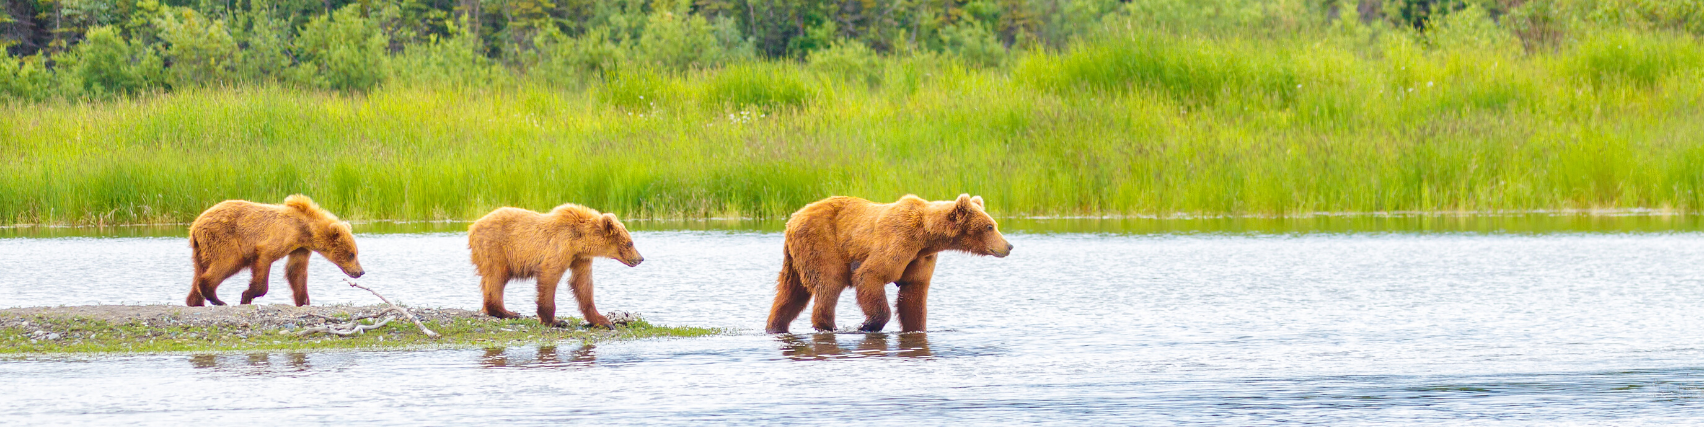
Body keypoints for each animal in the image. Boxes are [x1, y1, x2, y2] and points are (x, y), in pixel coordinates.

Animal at [185, 194, 365, 307]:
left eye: (356, 252)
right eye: (351, 254)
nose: (360, 272)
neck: (304, 230)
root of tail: (195, 225)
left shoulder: (300, 248)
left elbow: (296, 272)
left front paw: (304, 301)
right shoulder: (278, 239)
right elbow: (264, 261)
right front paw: (246, 296)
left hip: (201, 248)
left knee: (199, 269)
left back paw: (195, 301)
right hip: (224, 238)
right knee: (228, 262)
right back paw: (216, 298)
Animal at [468, 204, 644, 327]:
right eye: (630, 243)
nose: (640, 258)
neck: (580, 239)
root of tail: (473, 227)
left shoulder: (580, 258)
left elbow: (582, 284)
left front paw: (603, 321)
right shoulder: (561, 245)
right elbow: (549, 274)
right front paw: (554, 320)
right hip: (495, 247)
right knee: (496, 277)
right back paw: (508, 312)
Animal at [765, 194, 1013, 334]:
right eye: (989, 226)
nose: (1009, 246)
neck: (926, 237)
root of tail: (792, 218)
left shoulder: (920, 258)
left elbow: (913, 295)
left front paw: (916, 328)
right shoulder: (898, 241)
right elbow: (870, 275)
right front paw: (867, 325)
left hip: (795, 257)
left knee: (790, 292)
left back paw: (775, 326)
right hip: (821, 242)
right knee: (829, 283)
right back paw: (827, 325)